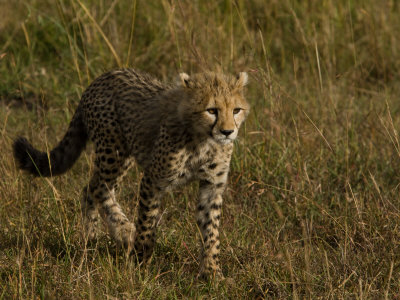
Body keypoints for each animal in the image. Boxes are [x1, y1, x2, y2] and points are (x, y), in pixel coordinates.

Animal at [12, 68, 248, 278]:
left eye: (236, 110)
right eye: (212, 110)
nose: (228, 132)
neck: (202, 139)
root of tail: (103, 77)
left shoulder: (212, 186)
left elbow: (211, 231)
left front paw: (212, 272)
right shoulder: (153, 180)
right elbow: (147, 221)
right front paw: (140, 260)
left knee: (91, 189)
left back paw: (91, 237)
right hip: (114, 152)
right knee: (98, 188)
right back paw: (123, 230)